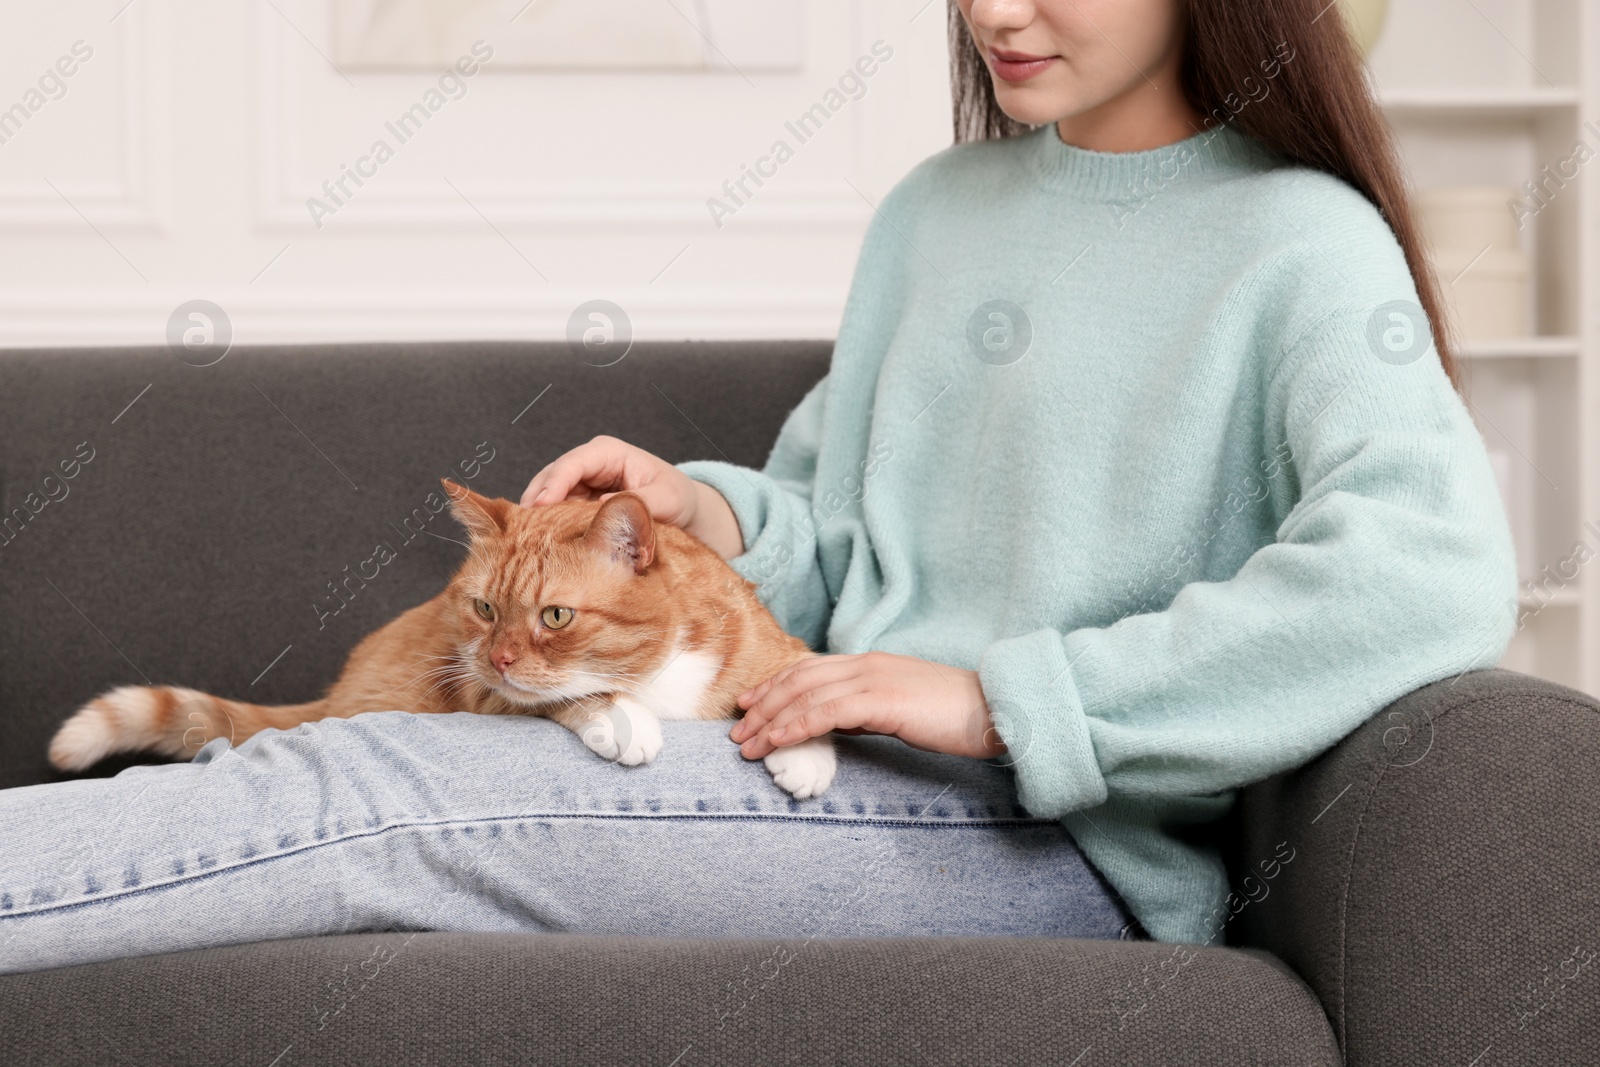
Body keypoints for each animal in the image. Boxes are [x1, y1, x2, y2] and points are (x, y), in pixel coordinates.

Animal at [50, 483, 838, 799]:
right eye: (485, 608)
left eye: (555, 616)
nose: (499, 657)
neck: (656, 670)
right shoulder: (479, 693)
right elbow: (575, 696)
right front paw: (621, 718)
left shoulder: (776, 650)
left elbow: (799, 677)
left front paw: (805, 745)